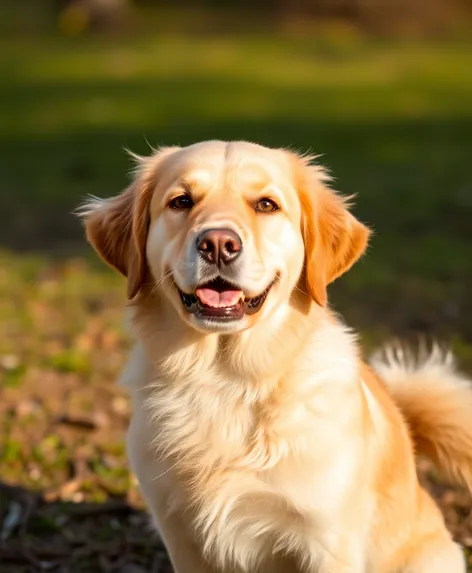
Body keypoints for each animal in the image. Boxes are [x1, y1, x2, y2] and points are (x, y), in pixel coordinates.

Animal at [78, 140, 472, 572]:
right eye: (181, 201)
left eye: (266, 205)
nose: (218, 244)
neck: (225, 379)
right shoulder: (181, 535)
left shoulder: (327, 542)